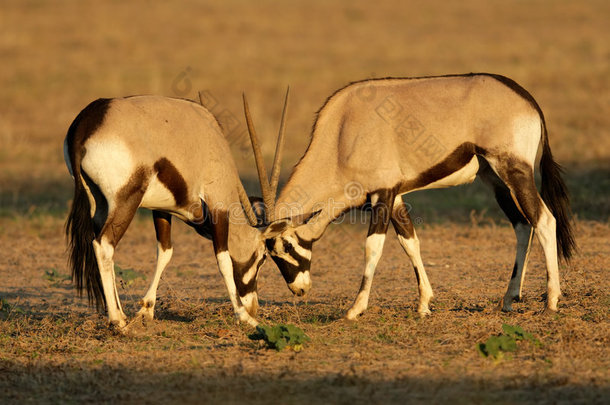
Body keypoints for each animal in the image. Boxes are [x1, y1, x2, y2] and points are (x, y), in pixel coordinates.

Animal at [64, 90, 290, 328]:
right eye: (262, 257)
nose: (253, 307)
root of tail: (87, 122)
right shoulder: (217, 205)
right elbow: (223, 260)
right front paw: (244, 316)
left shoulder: (161, 209)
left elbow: (165, 252)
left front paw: (146, 309)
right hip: (127, 200)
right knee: (104, 245)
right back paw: (118, 321)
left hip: (98, 204)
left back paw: (120, 313)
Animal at [249, 74, 572, 318]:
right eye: (268, 254)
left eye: (286, 246)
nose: (299, 290)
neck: (341, 135)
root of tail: (527, 100)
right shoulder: (395, 198)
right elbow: (410, 242)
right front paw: (424, 303)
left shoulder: (383, 194)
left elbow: (373, 247)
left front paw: (355, 308)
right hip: (495, 178)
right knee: (522, 224)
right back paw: (510, 297)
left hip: (514, 170)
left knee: (544, 220)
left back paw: (551, 301)